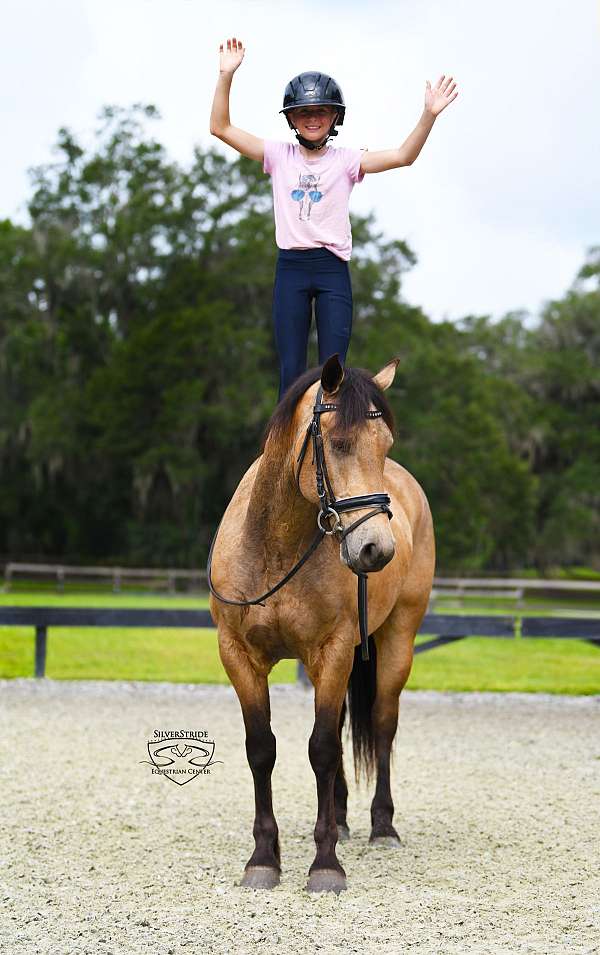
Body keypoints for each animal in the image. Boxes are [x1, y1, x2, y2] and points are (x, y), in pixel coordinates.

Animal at [208, 354, 435, 893]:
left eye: (385, 444)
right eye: (338, 443)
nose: (377, 550)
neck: (276, 545)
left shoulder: (332, 650)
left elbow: (324, 748)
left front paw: (325, 863)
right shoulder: (239, 656)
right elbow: (261, 748)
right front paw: (263, 858)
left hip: (398, 638)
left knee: (383, 721)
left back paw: (381, 826)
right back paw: (344, 816)